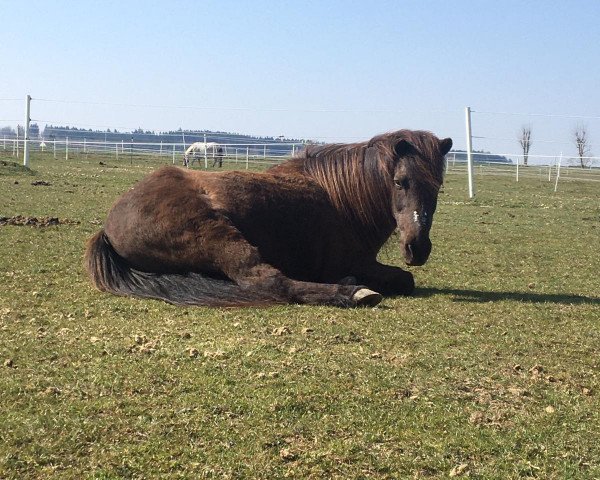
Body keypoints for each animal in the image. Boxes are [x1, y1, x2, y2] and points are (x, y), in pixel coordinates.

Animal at [83, 129, 450, 308]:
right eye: (401, 182)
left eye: (438, 185)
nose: (418, 247)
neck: (340, 199)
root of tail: (108, 227)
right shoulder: (356, 261)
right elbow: (405, 279)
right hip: (219, 238)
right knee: (272, 282)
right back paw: (352, 292)